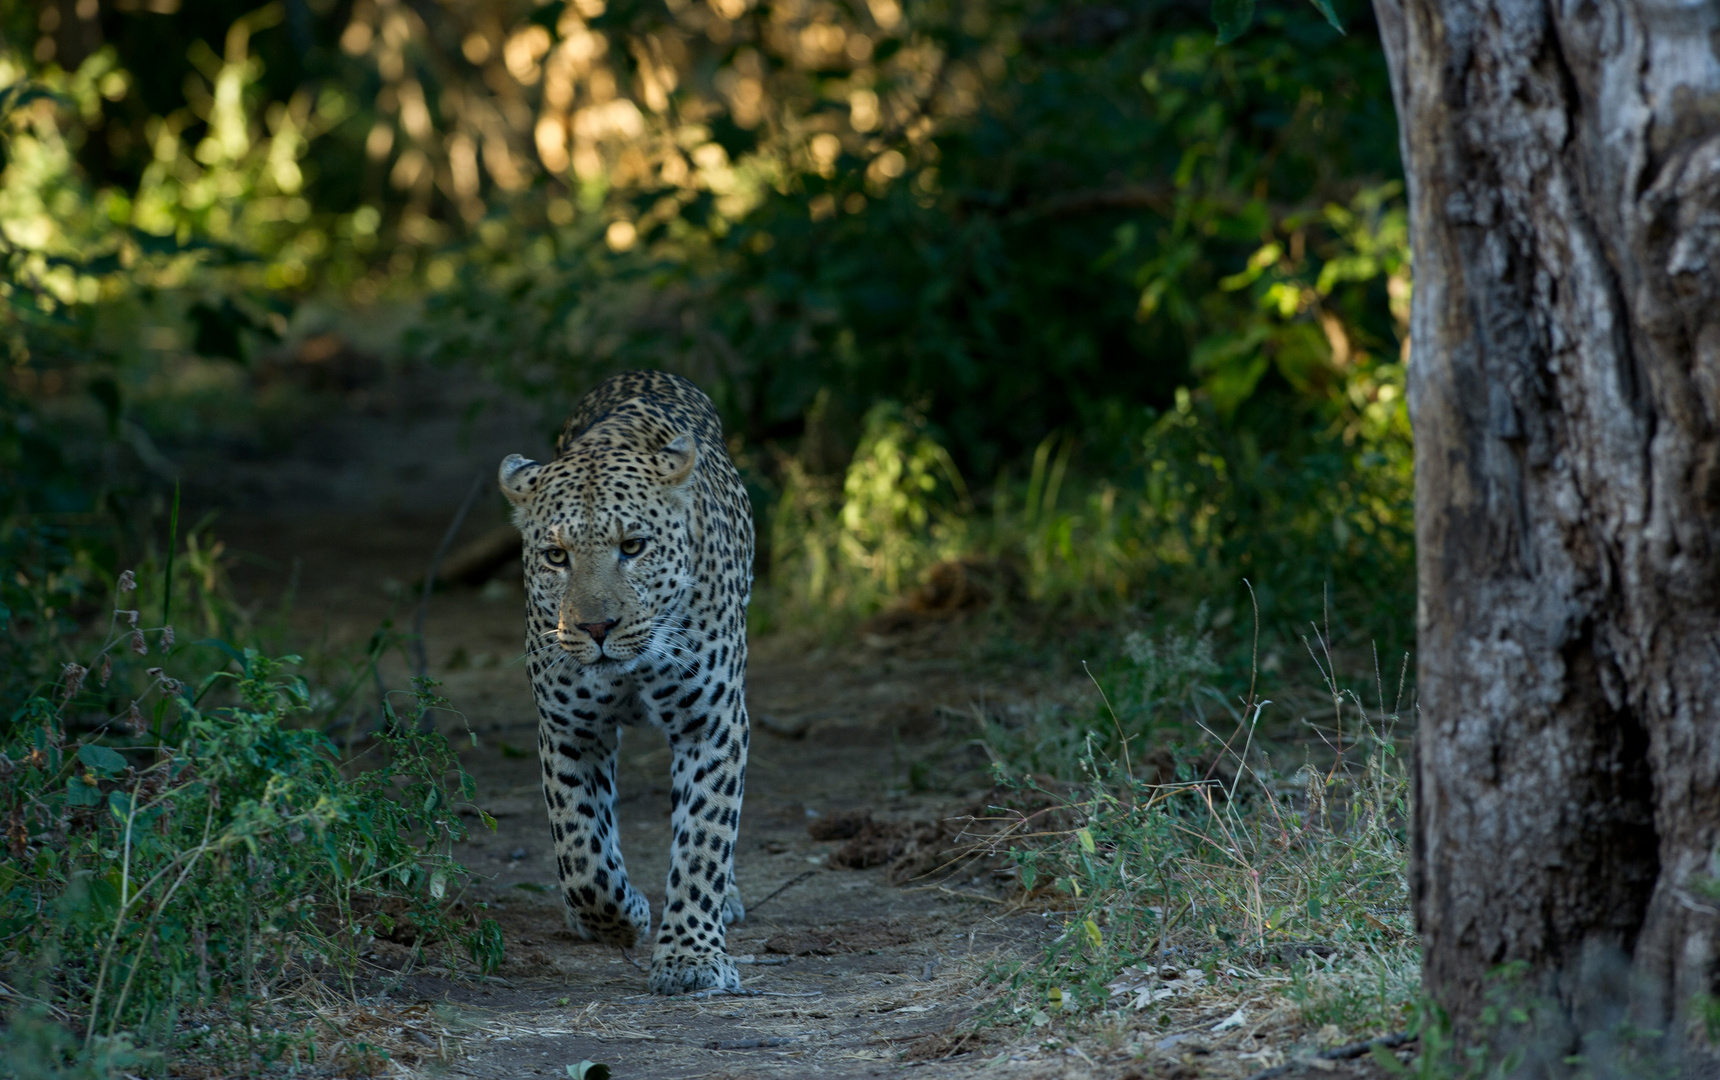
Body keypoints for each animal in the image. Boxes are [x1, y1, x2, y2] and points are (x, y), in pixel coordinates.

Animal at [491, 371, 746, 997]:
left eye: (633, 547)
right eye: (555, 555)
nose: (596, 627)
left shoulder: (711, 722)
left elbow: (704, 836)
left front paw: (690, 957)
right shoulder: (570, 729)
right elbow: (580, 849)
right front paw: (620, 916)